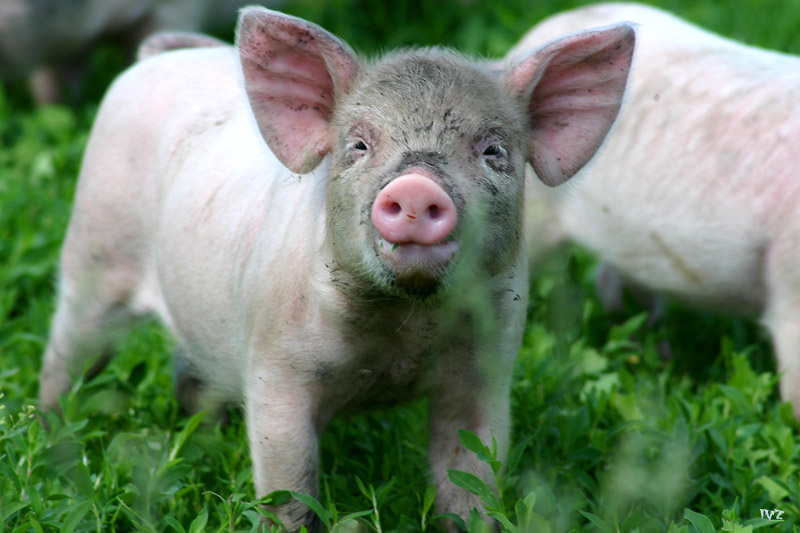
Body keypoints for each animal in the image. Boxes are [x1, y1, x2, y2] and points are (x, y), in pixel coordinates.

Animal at [37, 6, 635, 530]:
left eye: (493, 150)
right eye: (359, 144)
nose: (415, 187)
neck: (402, 334)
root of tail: (158, 58)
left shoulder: (487, 369)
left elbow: (470, 480)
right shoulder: (276, 370)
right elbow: (288, 488)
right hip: (93, 251)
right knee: (67, 353)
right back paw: (51, 438)